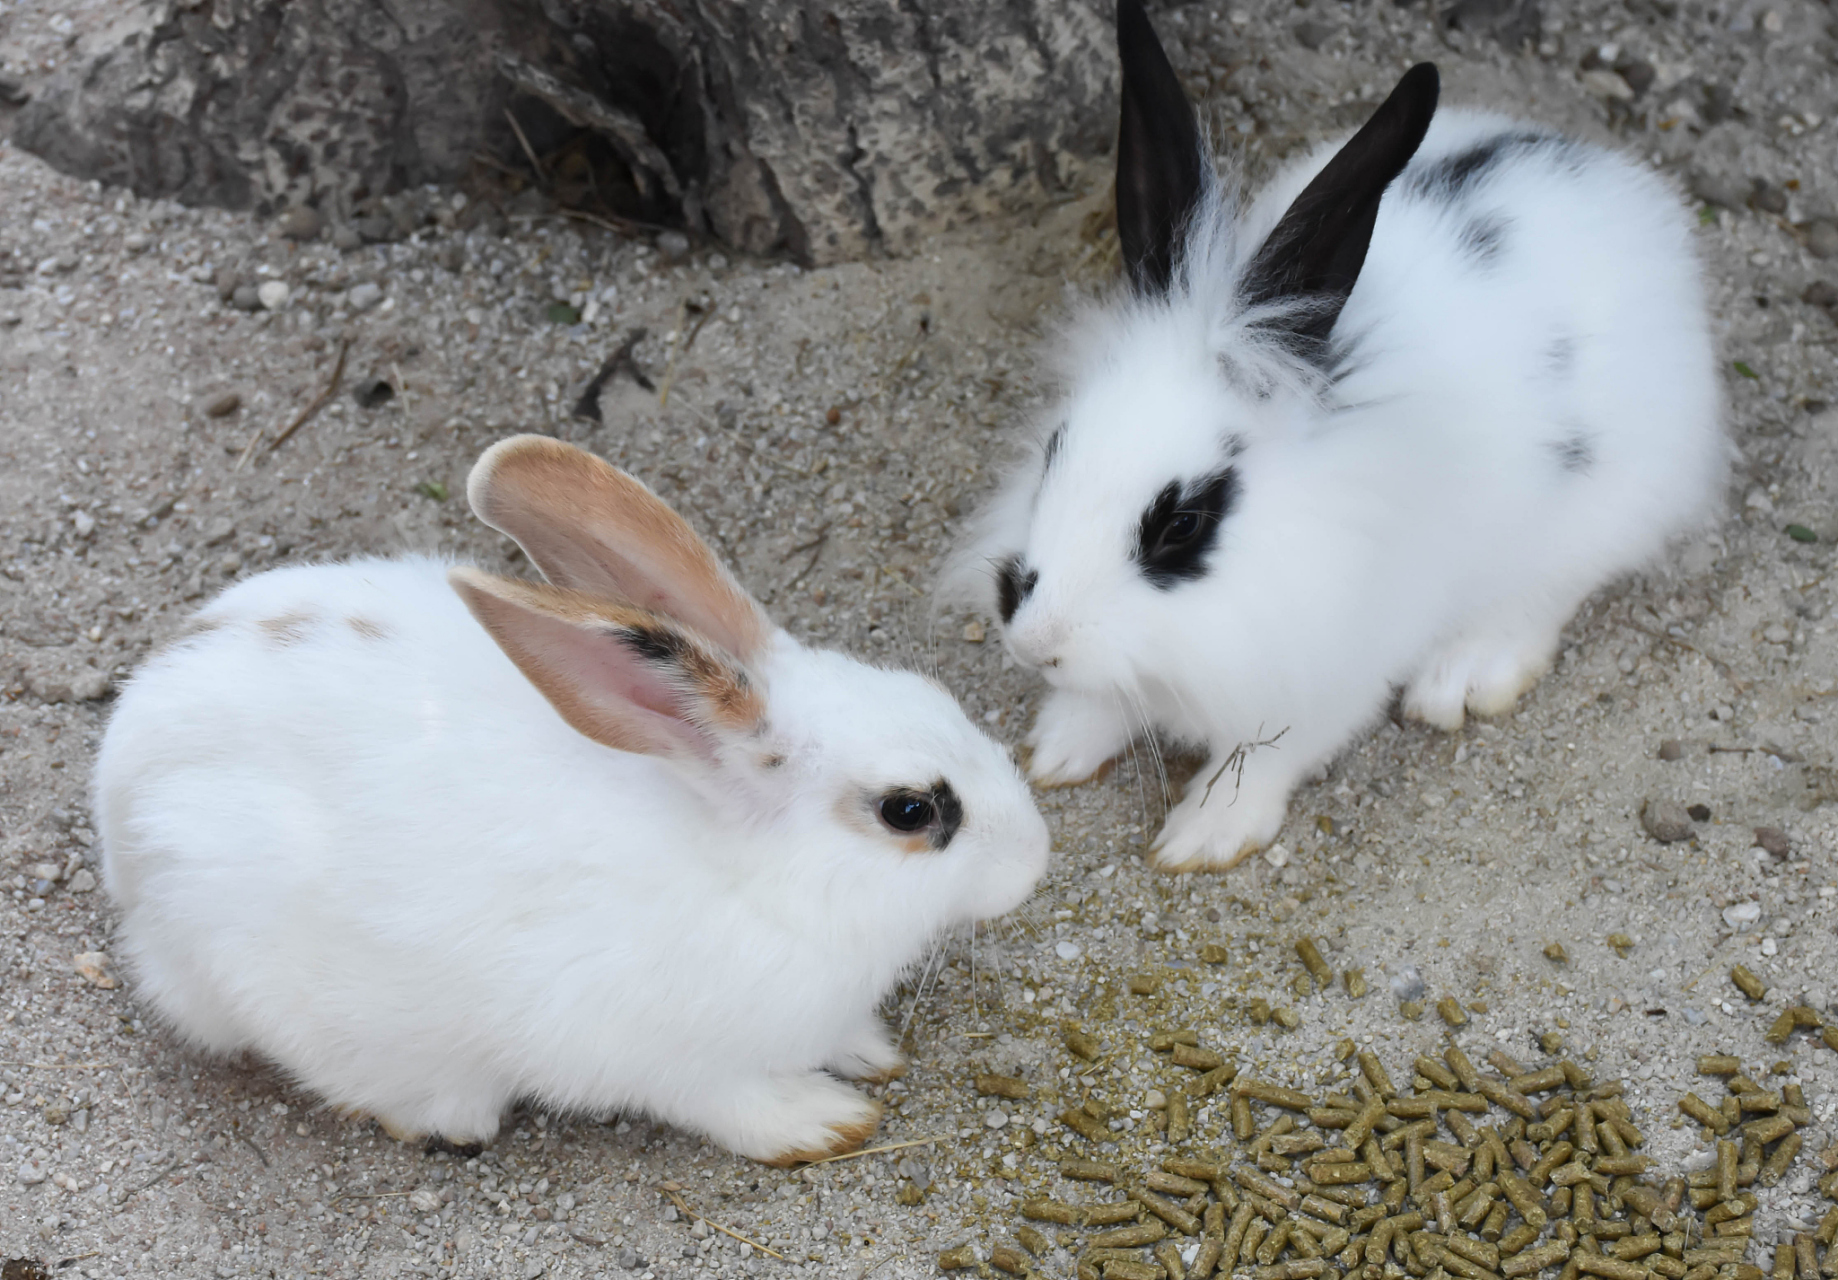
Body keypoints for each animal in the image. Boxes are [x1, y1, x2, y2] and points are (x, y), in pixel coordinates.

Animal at [93, 435, 1051, 1162]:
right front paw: (825, 1122)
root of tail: (117, 787)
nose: (1037, 859)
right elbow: (730, 1102)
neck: (760, 880)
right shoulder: (661, 1056)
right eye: (911, 811)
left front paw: (870, 1055)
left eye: (938, 696)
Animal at [948, 0, 1720, 871]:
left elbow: (1265, 755)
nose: (1034, 643)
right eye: (1055, 450)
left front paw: (1202, 837)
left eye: (1184, 523)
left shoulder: (1321, 678)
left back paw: (1459, 680)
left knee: (1547, 592)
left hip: (1599, 510)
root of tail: (1612, 179)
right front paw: (1058, 748)